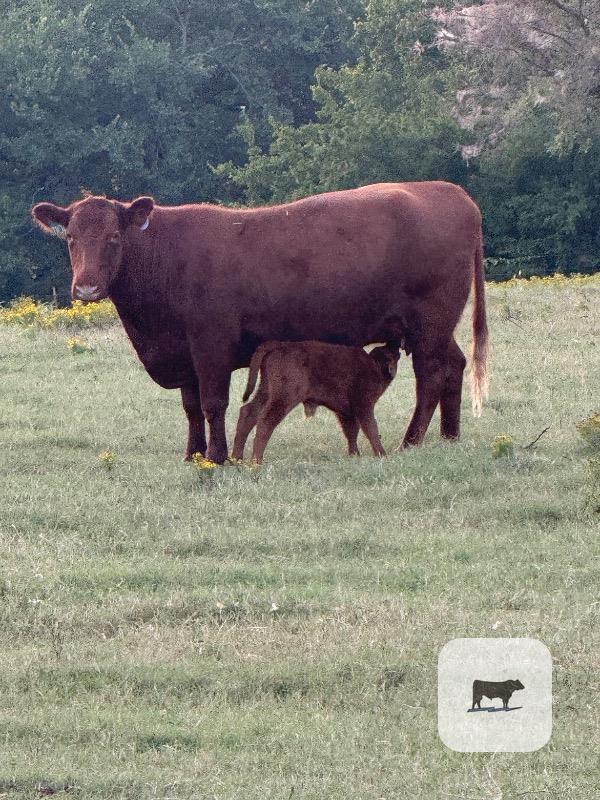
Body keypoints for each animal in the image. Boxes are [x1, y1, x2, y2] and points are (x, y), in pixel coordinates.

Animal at [232, 341, 401, 463]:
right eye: (392, 355)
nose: (396, 347)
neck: (374, 364)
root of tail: (278, 345)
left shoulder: (346, 411)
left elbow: (352, 431)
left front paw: (354, 455)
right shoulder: (363, 405)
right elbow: (371, 428)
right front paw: (382, 454)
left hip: (265, 391)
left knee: (248, 413)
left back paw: (236, 459)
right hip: (283, 398)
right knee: (265, 421)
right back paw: (256, 462)